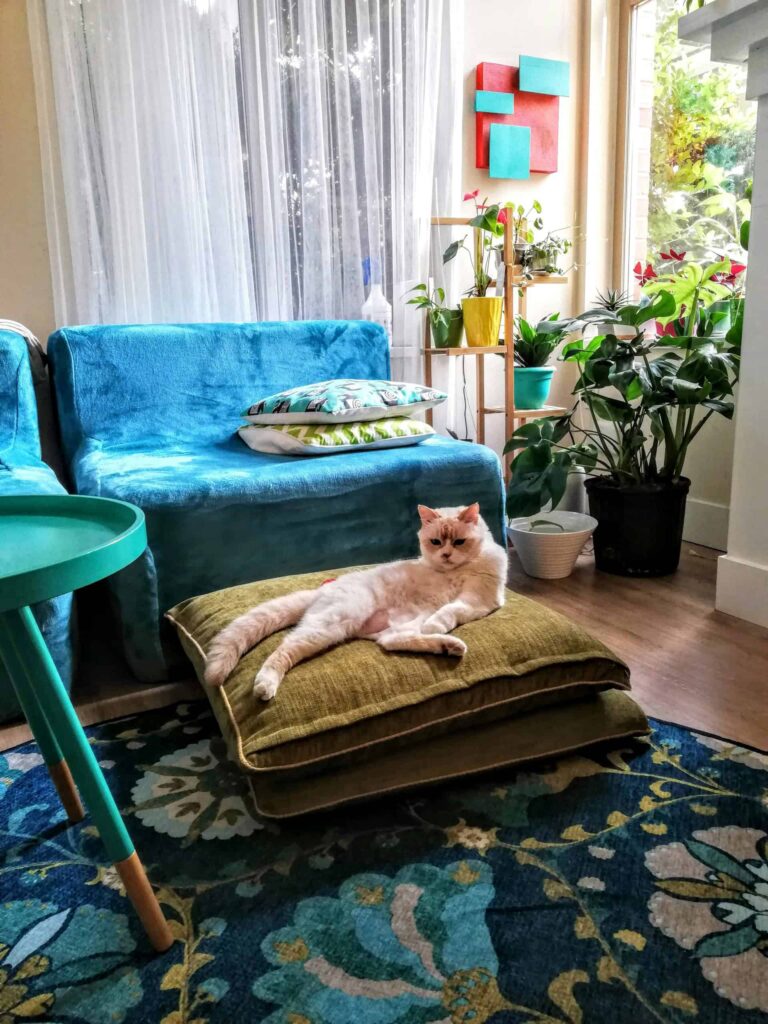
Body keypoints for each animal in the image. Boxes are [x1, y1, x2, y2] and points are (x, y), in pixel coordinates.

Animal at [202, 499, 512, 700]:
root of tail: (323, 590)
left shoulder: (479, 598)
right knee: (284, 649)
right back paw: (265, 685)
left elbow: (452, 609)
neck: (455, 571)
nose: (446, 555)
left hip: (395, 625)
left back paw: (449, 646)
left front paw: (439, 626)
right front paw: (439, 624)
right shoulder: (476, 600)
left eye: (458, 542)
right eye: (436, 542)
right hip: (329, 625)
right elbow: (450, 610)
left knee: (394, 641)